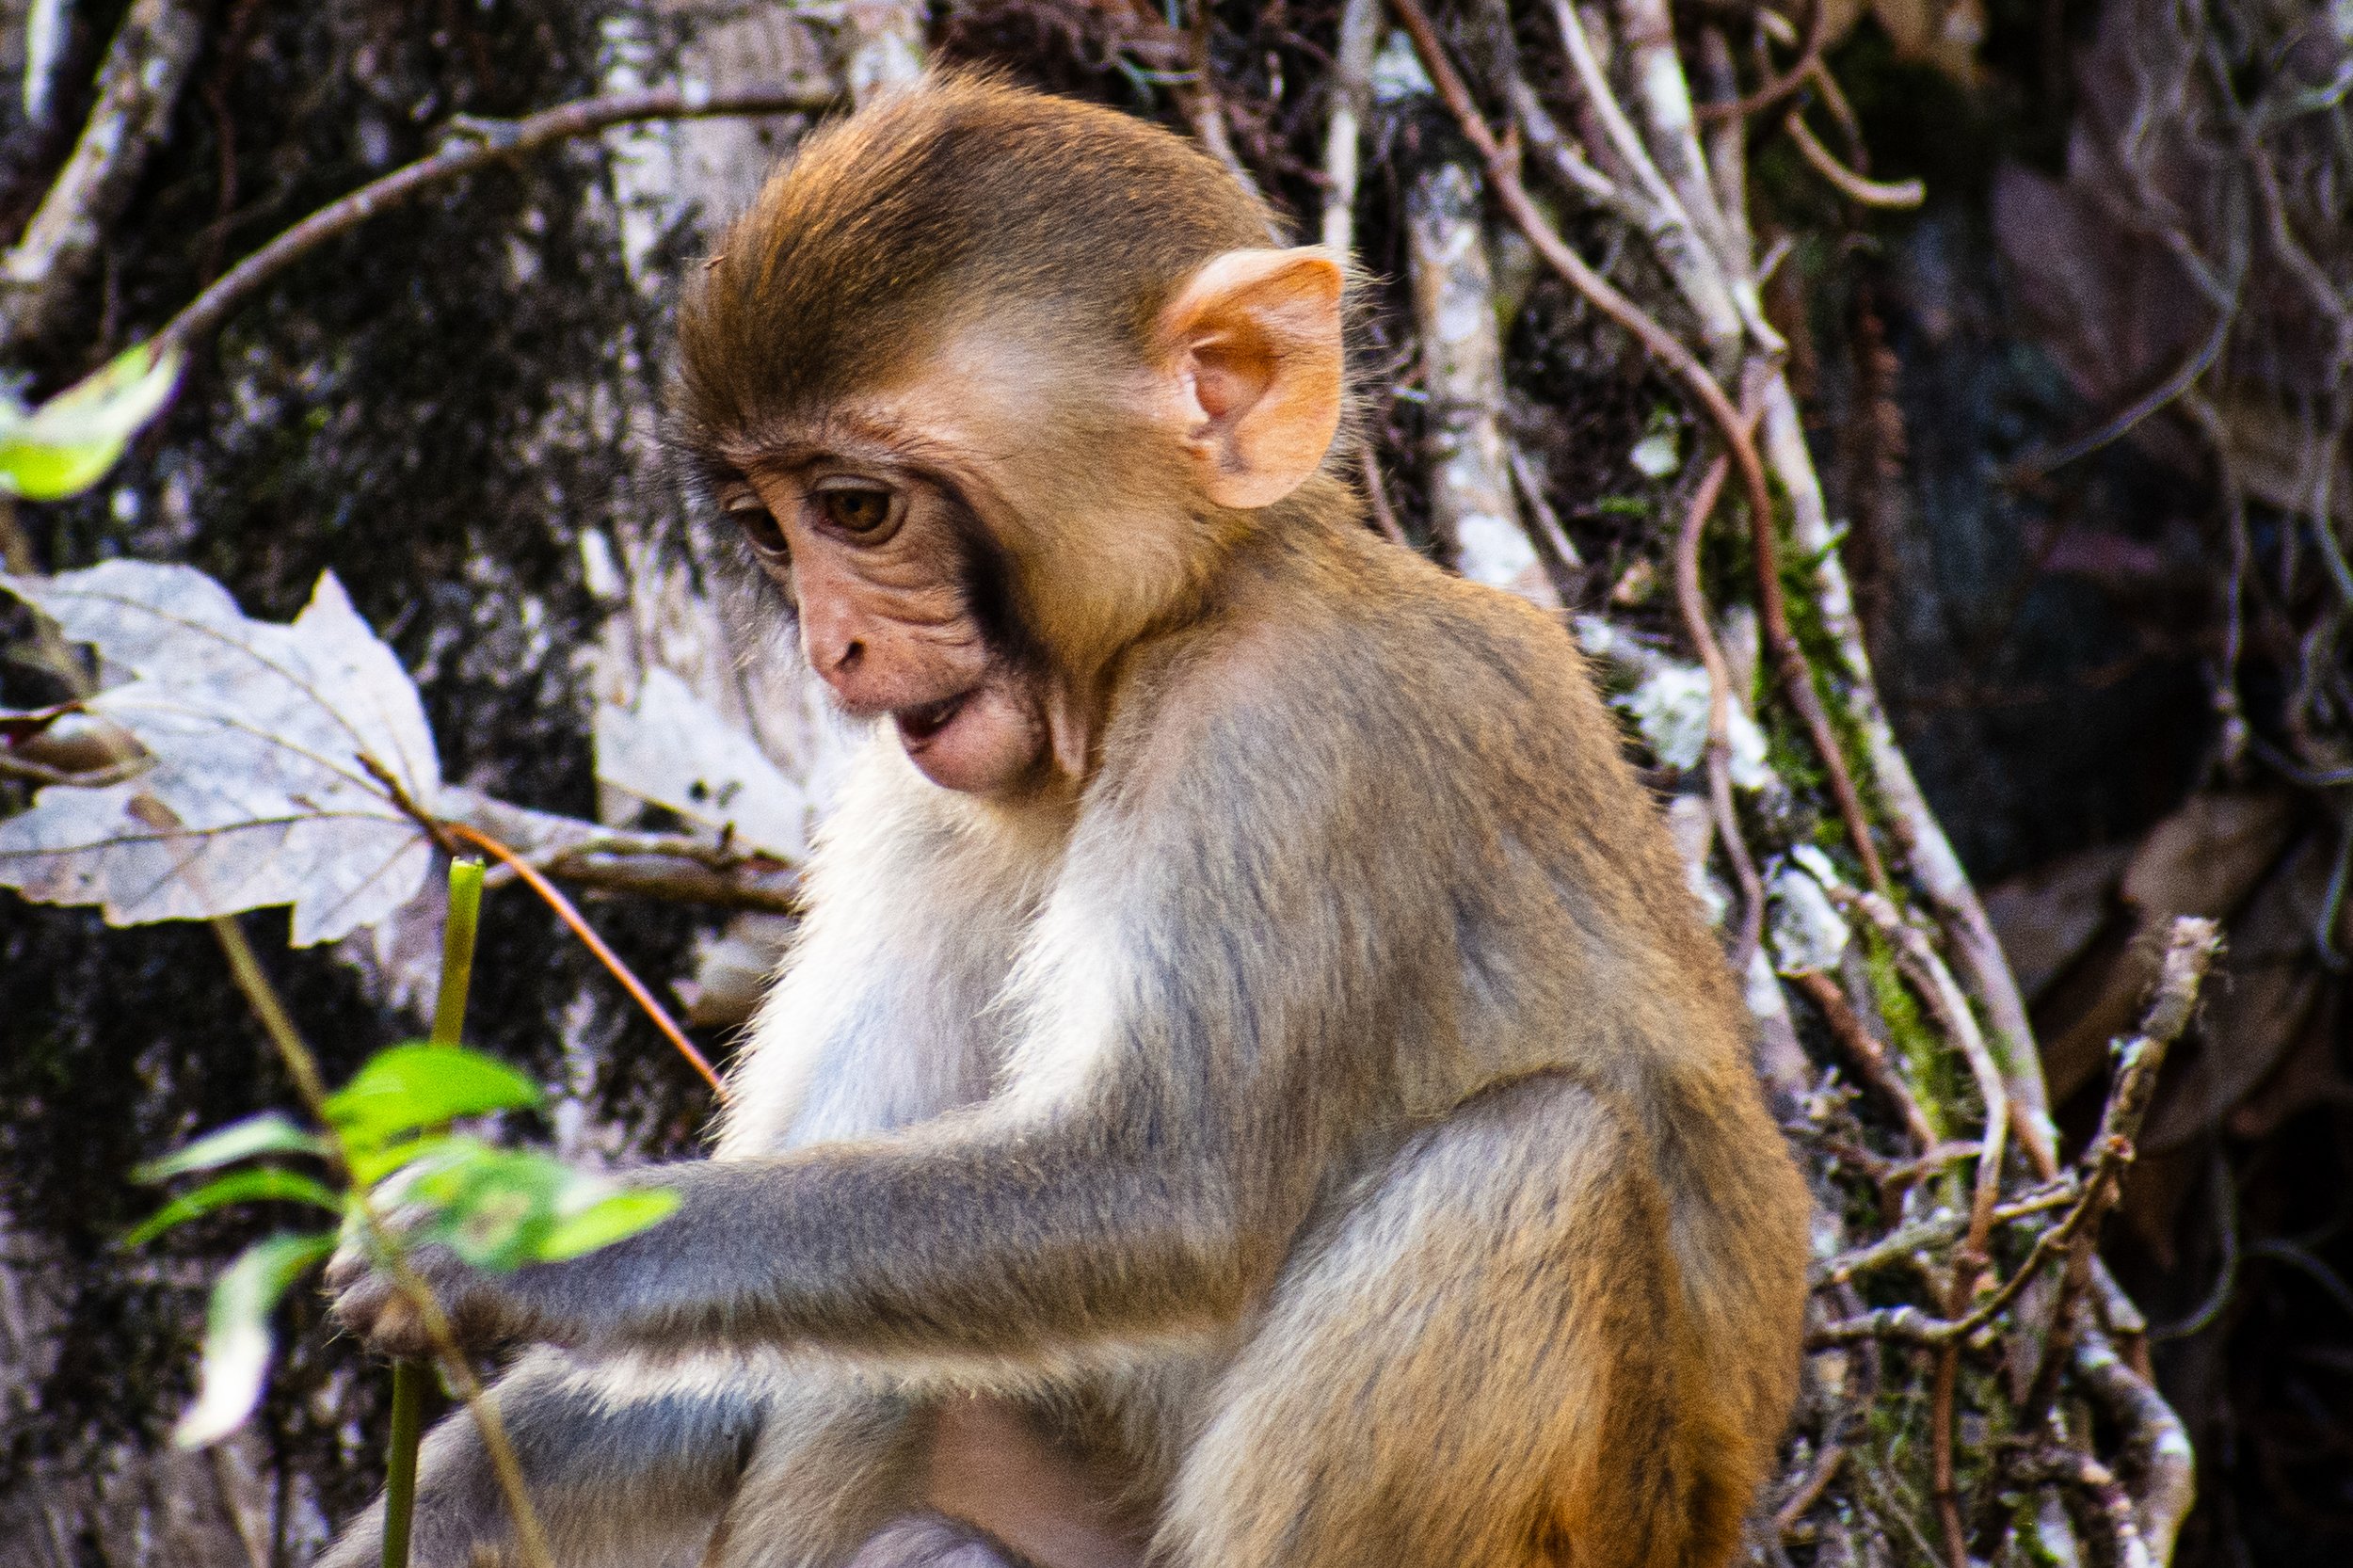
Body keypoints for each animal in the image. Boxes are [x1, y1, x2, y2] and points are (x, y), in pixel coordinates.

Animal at [321, 71, 1810, 1568]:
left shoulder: (1279, 725)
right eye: (767, 528)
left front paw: (519, 1233)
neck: (1151, 646)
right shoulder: (918, 811)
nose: (833, 647)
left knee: (1532, 1152)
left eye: (857, 507)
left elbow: (1163, 1187)